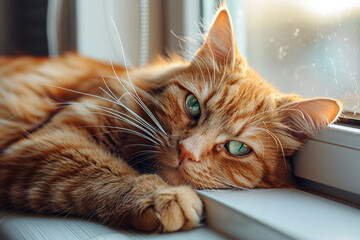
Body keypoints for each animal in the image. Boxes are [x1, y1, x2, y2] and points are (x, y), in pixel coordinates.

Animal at [0, 6, 340, 232]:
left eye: (237, 148)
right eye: (193, 106)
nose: (186, 151)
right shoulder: (52, 138)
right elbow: (104, 171)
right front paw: (161, 196)